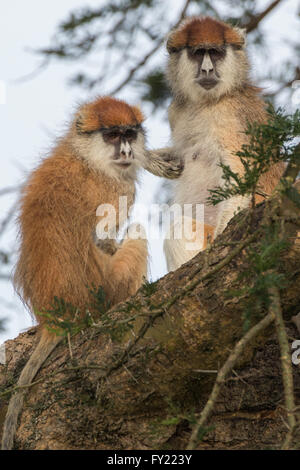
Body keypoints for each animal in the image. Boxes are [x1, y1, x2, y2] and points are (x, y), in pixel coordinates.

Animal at [0, 96, 149, 452]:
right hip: (110, 288)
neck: (85, 155)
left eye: (129, 133)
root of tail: (56, 318)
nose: (127, 152)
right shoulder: (116, 187)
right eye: (112, 135)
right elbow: (102, 239)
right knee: (137, 235)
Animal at [156, 16, 284, 272]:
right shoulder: (176, 112)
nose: (207, 69)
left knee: (180, 227)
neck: (206, 102)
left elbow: (240, 179)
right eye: (198, 53)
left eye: (215, 53)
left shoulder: (228, 118)